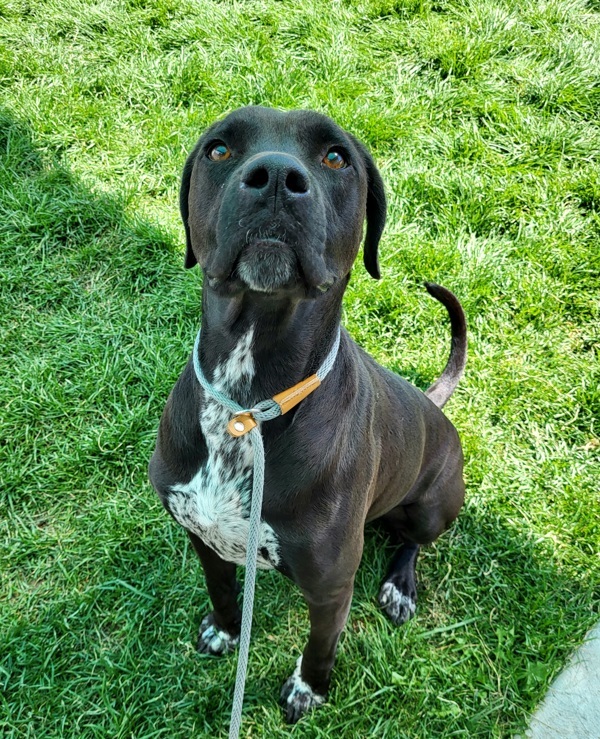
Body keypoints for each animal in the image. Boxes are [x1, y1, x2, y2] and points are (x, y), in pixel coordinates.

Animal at [148, 107, 466, 724]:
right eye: (219, 149)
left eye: (336, 157)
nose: (274, 176)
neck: (248, 405)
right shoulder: (204, 537)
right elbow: (222, 592)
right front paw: (225, 631)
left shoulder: (330, 584)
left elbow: (321, 644)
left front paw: (308, 689)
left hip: (434, 504)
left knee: (413, 541)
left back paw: (400, 586)